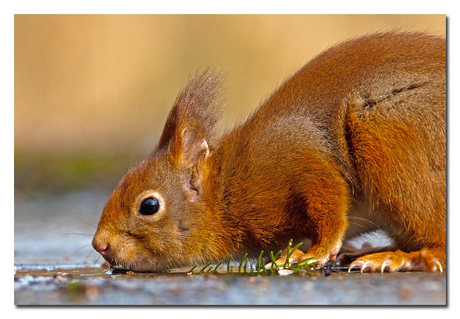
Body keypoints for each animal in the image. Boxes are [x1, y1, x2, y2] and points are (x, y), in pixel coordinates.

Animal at [90, 31, 446, 272]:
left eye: (149, 206)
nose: (99, 246)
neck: (226, 190)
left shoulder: (295, 154)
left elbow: (329, 208)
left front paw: (313, 253)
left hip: (391, 141)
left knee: (438, 242)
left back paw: (403, 258)